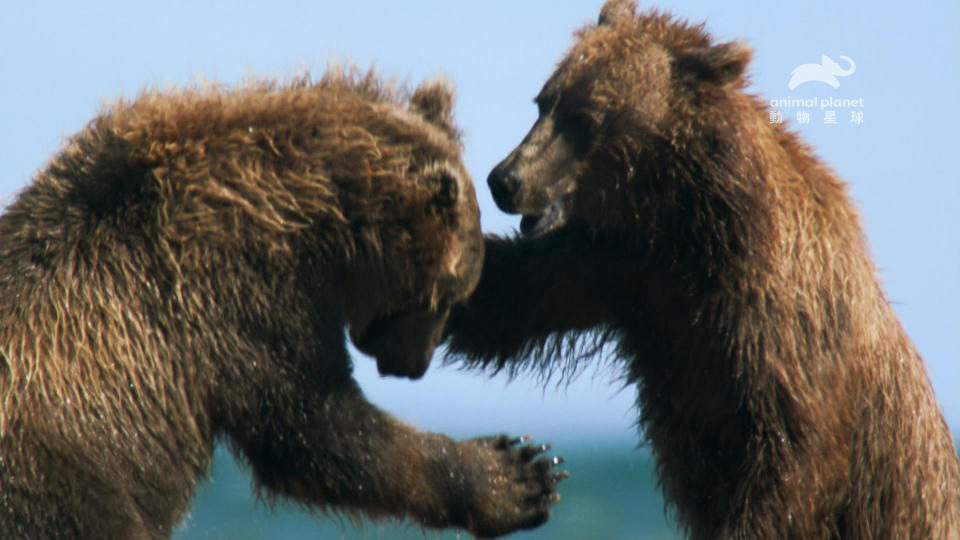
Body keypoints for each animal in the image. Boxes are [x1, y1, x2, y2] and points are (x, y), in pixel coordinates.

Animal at [0, 71, 568, 540]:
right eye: (450, 295)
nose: (413, 366)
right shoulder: (242, 293)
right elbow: (315, 426)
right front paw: (516, 475)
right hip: (66, 485)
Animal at [442, 2, 960, 536]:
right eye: (543, 102)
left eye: (583, 117)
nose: (505, 179)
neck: (683, 215)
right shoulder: (621, 269)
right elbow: (509, 298)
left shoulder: (777, 316)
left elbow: (786, 450)